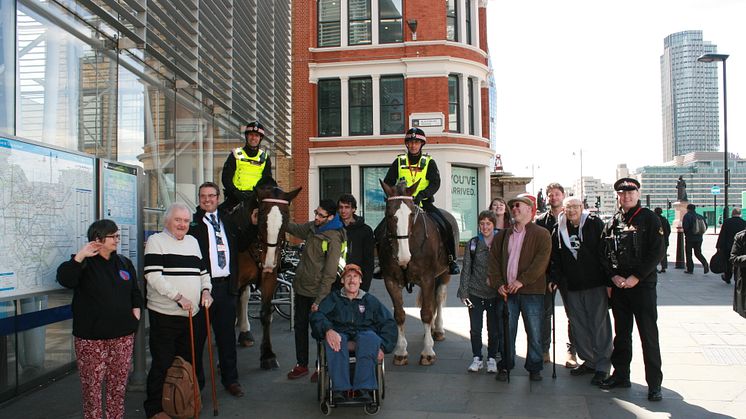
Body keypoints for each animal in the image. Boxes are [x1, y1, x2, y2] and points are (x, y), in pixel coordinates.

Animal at [235, 185, 300, 370]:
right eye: (261, 216)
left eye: (286, 218)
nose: (270, 261)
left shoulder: (269, 277)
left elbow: (265, 313)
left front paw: (267, 355)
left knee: (244, 298)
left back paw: (245, 333)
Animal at [378, 179, 454, 366]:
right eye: (388, 214)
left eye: (412, 214)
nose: (404, 257)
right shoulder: (390, 281)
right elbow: (399, 315)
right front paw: (401, 352)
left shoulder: (427, 279)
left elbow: (426, 313)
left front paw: (427, 352)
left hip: (444, 274)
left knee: (438, 298)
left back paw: (438, 330)